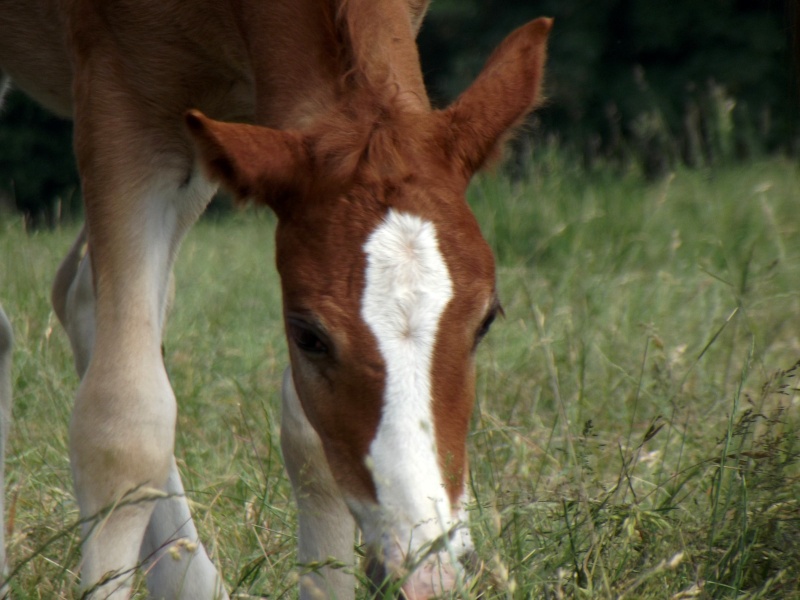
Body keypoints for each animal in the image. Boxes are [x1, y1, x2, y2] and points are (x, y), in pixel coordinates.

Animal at [0, 2, 552, 596]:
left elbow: (309, 435)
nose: (428, 574)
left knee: (82, 295)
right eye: (308, 336)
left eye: (487, 320)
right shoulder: (121, 97)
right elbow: (123, 424)